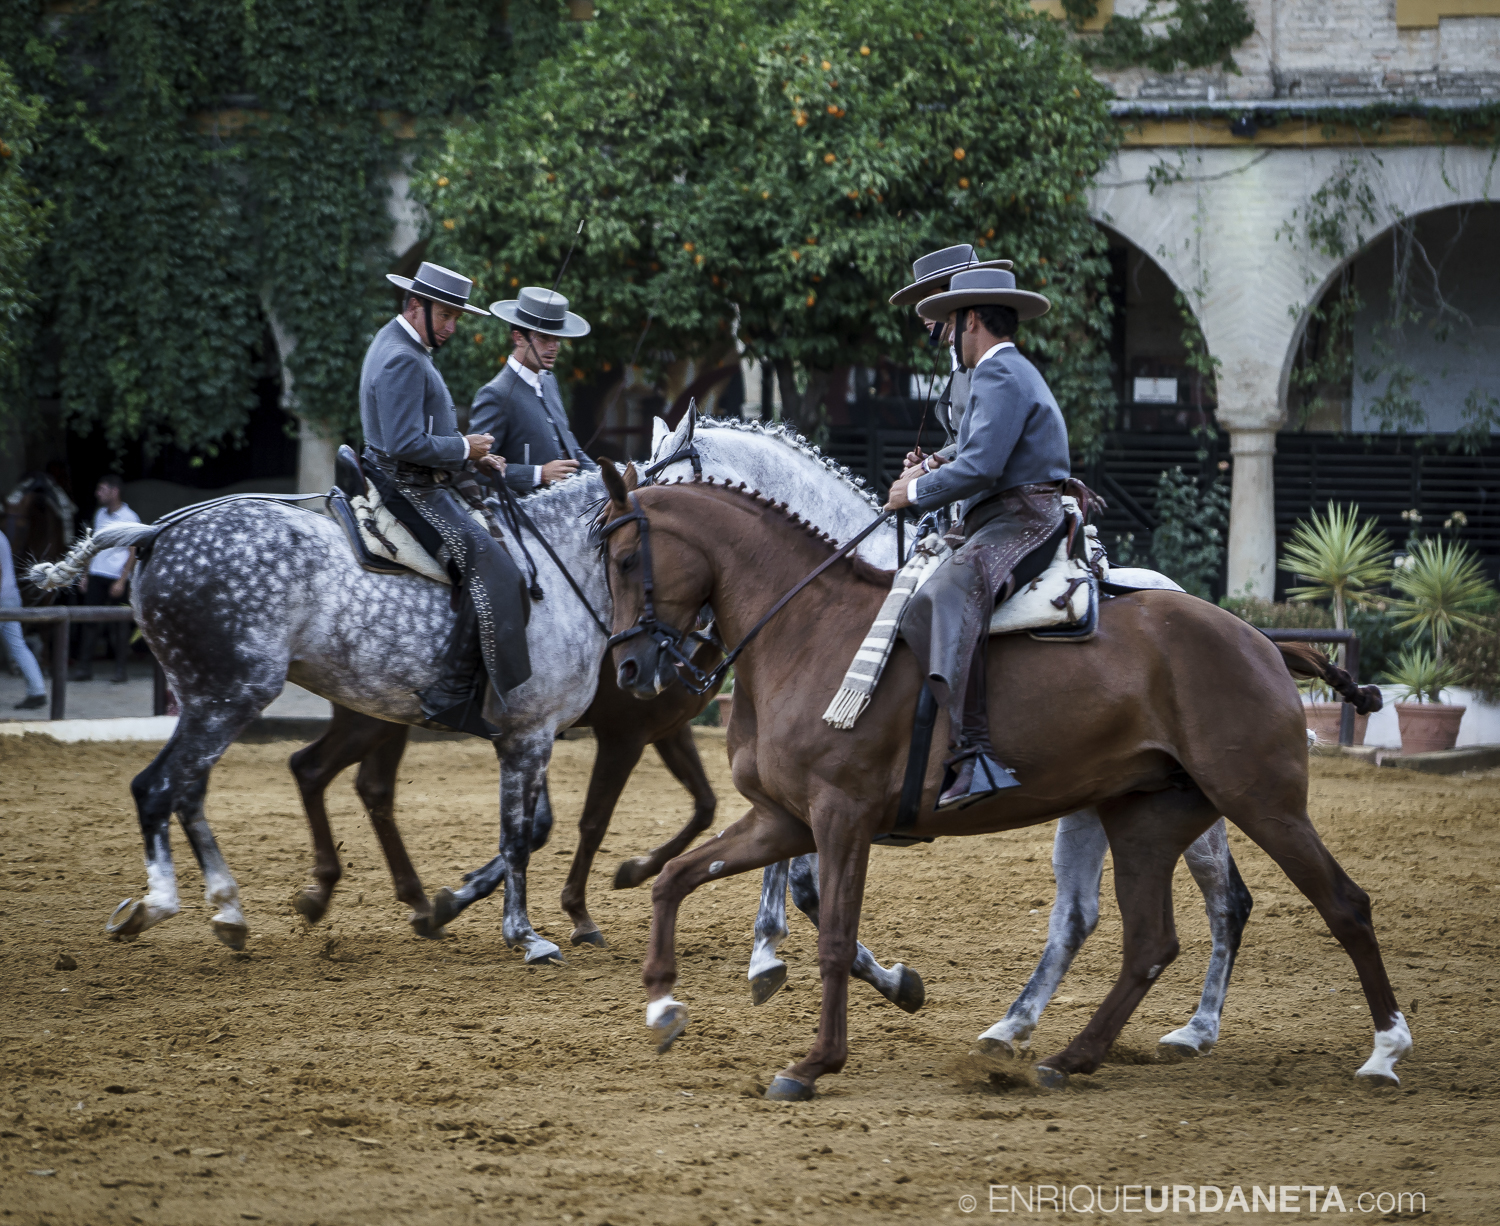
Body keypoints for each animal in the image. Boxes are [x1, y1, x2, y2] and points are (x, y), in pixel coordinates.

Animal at [597, 465, 1404, 1098]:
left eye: (628, 558)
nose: (630, 667)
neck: (807, 631)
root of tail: (1258, 637)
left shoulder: (839, 818)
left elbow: (832, 936)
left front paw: (815, 1062)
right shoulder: (782, 819)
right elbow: (675, 878)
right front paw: (662, 1007)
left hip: (1262, 803)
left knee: (1342, 905)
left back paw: (1383, 1052)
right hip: (1144, 821)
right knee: (1148, 940)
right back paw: (1068, 1056)